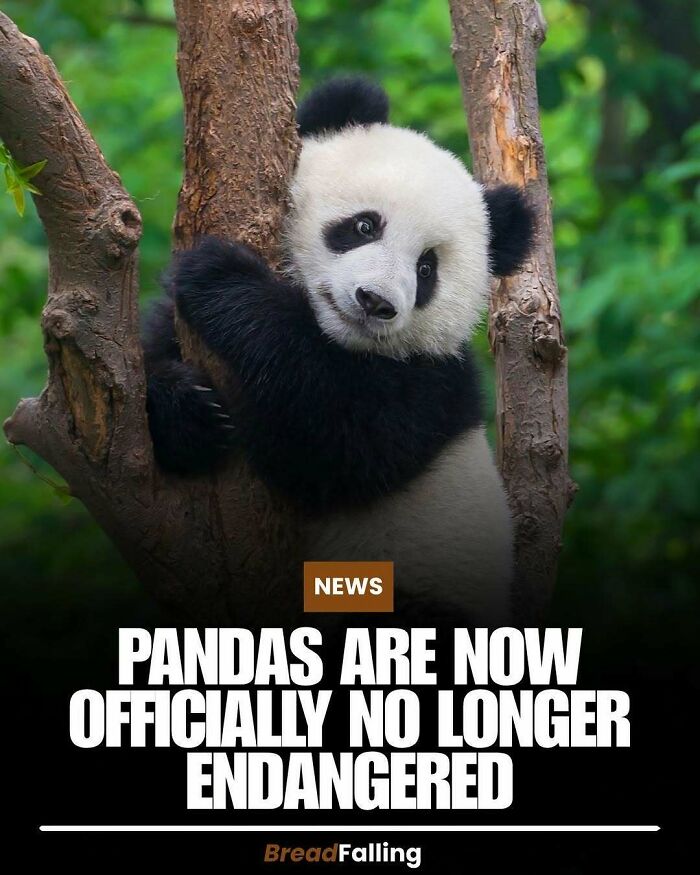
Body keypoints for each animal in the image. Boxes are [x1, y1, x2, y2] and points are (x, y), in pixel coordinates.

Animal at [143, 77, 534, 626]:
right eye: (365, 226)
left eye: (426, 269)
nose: (375, 301)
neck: (336, 338)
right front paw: (188, 412)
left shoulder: (431, 386)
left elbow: (335, 444)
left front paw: (222, 279)